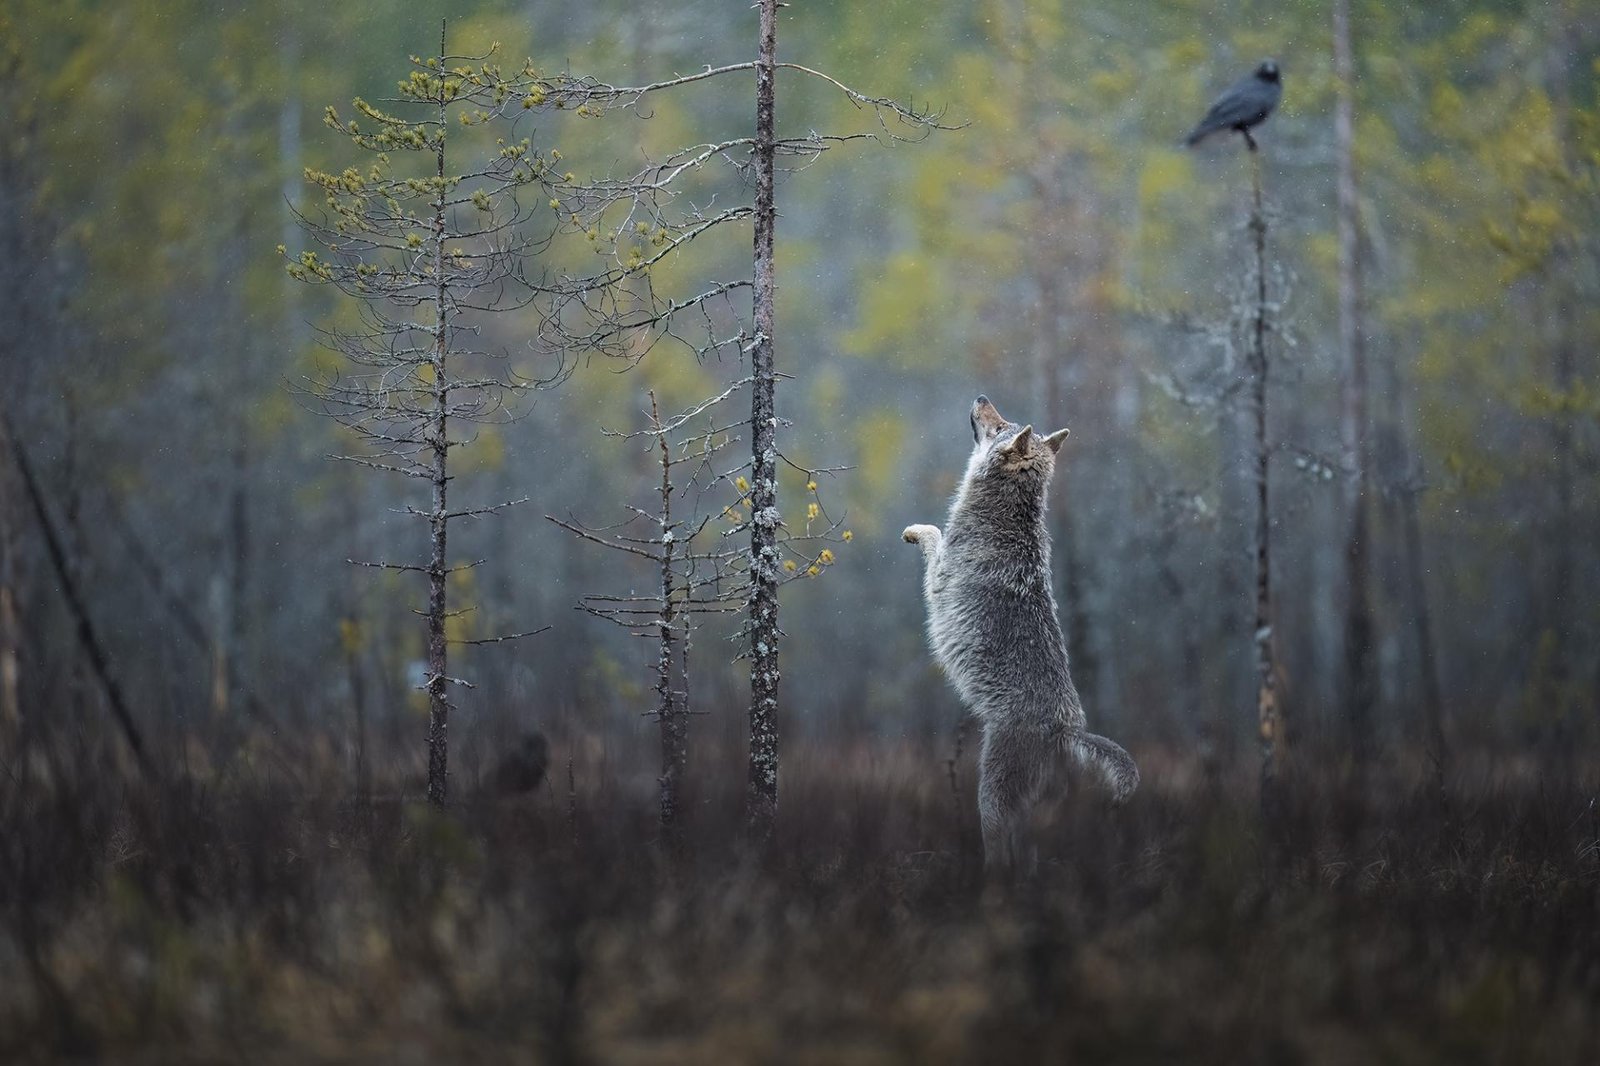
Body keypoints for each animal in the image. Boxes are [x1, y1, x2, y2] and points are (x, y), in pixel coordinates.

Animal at [903, 396, 1138, 873]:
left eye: (1000, 428)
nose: (980, 398)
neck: (1005, 512)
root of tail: (1067, 730)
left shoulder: (938, 578)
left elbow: (933, 533)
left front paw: (914, 531)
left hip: (990, 798)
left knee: (1000, 855)